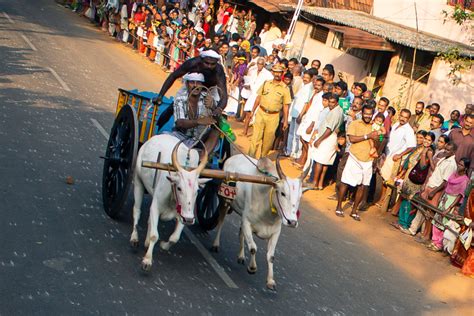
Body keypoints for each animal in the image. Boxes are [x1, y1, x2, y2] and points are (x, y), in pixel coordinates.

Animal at [131, 135, 210, 270]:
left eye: (197, 190)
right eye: (179, 188)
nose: (189, 220)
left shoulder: (185, 214)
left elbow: (174, 238)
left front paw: (163, 245)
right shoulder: (155, 207)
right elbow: (154, 235)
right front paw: (147, 260)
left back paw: (145, 242)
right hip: (138, 181)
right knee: (137, 210)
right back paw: (134, 238)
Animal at [212, 154, 312, 290]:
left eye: (299, 197)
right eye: (282, 193)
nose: (292, 222)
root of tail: (233, 157)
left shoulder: (275, 232)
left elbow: (271, 256)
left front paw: (270, 280)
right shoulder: (247, 222)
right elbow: (253, 248)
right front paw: (252, 268)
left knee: (240, 233)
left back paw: (241, 256)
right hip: (225, 202)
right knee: (221, 221)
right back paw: (216, 244)